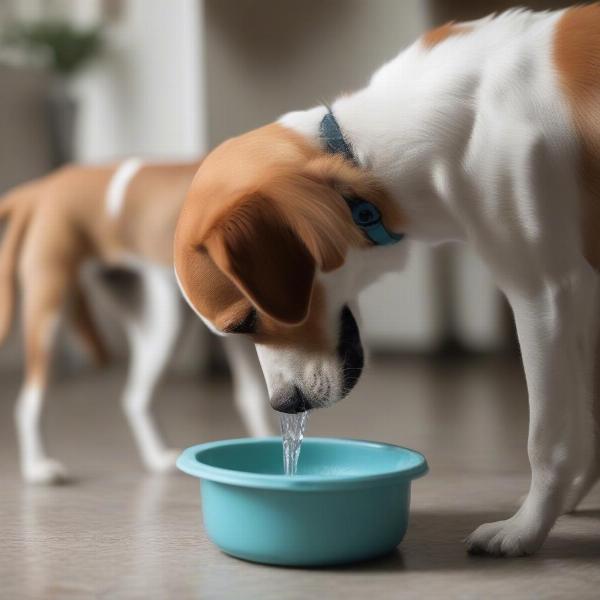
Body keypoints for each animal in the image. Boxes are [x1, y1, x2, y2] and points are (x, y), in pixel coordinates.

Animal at [0, 158, 272, 482]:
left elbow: (253, 395)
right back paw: (38, 467)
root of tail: (43, 188)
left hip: (156, 324)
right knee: (29, 402)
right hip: (53, 313)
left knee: (135, 398)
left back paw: (156, 456)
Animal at [172, 7, 600, 556]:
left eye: (247, 320)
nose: (282, 405)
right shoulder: (584, 298)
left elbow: (548, 439)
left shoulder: (544, 293)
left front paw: (524, 529)